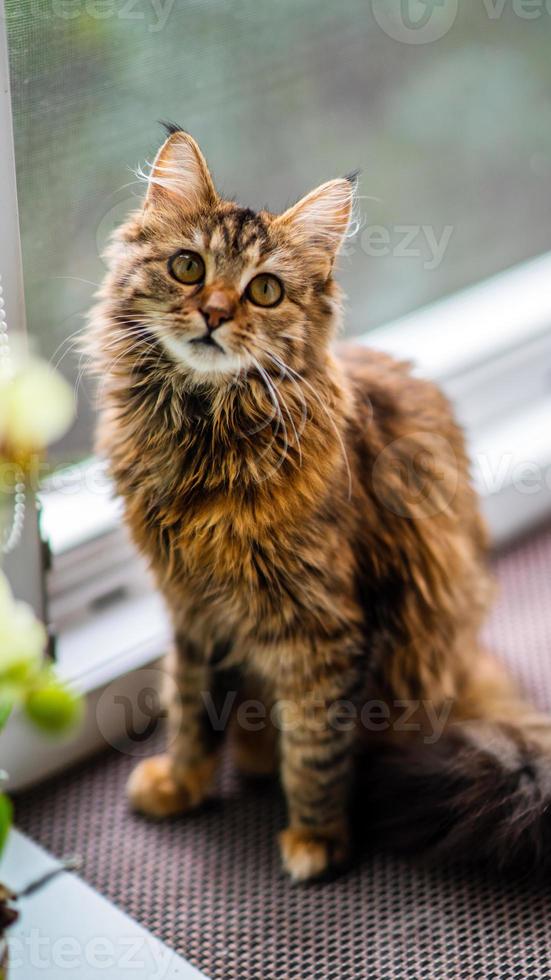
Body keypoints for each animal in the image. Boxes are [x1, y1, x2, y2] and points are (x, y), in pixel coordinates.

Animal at [88, 122, 551, 880]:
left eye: (265, 290)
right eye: (187, 268)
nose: (214, 313)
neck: (205, 439)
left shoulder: (322, 628)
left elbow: (315, 747)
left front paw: (314, 838)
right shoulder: (193, 609)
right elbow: (190, 709)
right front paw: (181, 784)